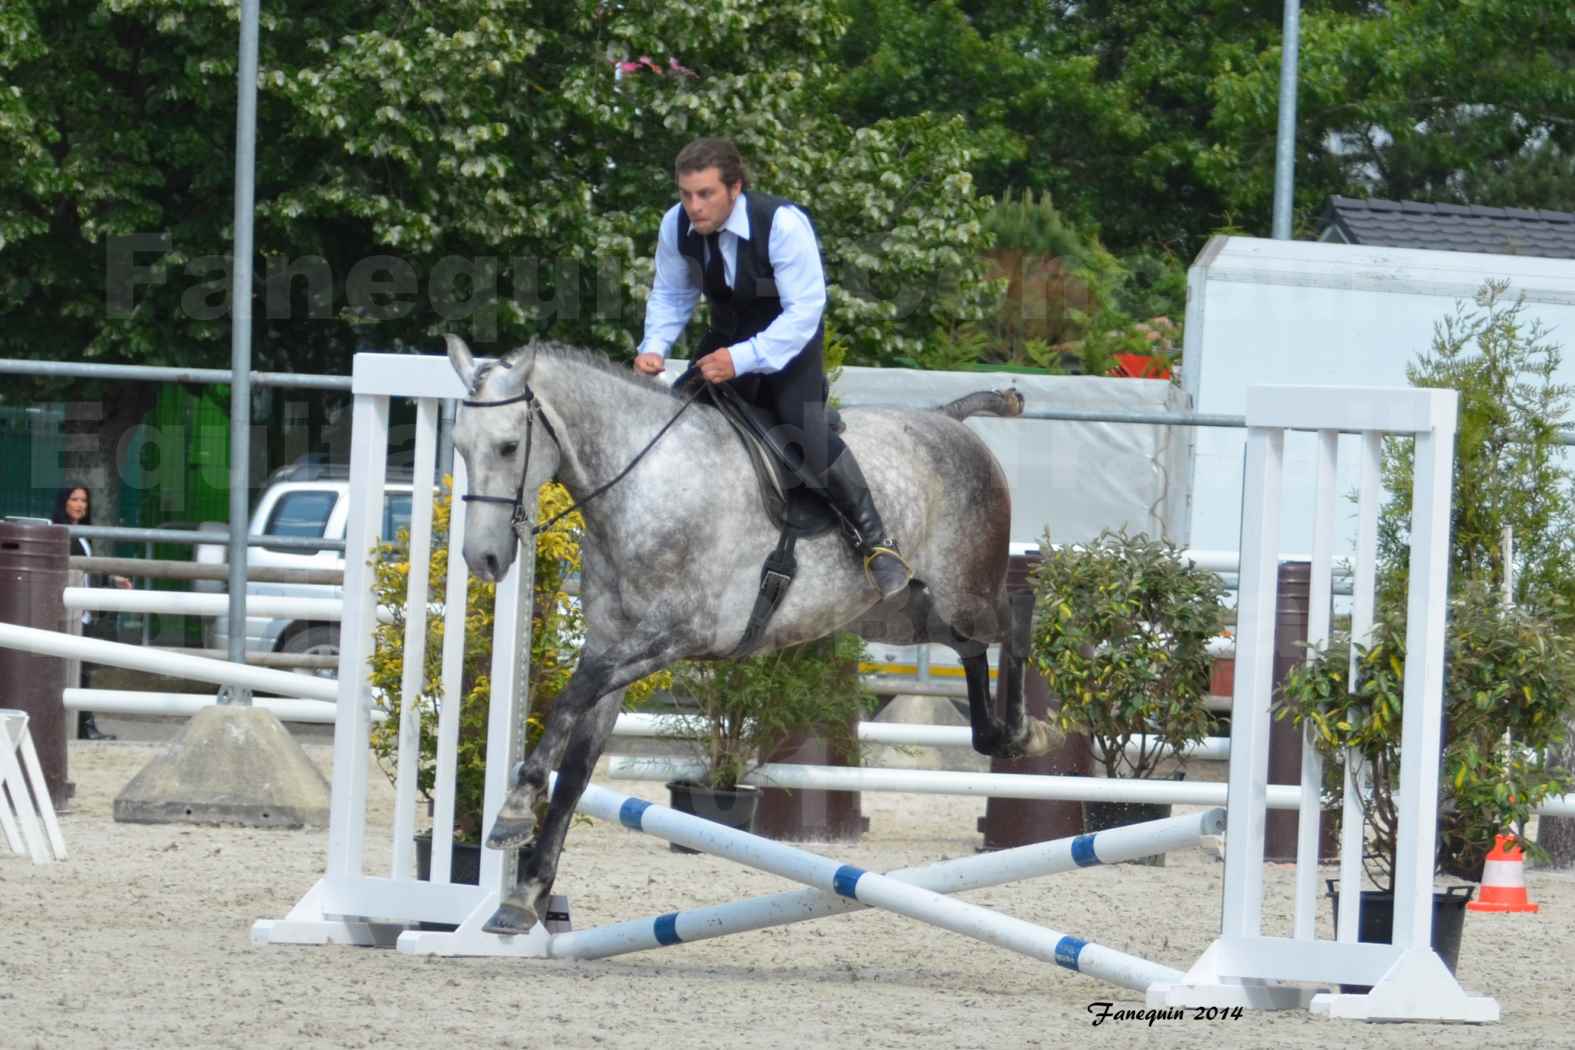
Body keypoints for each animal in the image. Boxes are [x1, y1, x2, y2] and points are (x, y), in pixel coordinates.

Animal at [447, 336, 1058, 938]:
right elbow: (575, 767)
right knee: (970, 649)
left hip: (965, 594)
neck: (645, 488)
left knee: (1015, 619)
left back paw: (1026, 733)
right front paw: (524, 896)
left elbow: (571, 698)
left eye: (508, 447)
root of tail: (950, 420)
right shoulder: (611, 648)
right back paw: (1001, 735)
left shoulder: (673, 635)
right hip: (898, 613)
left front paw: (513, 810)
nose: (483, 560)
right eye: (459, 446)